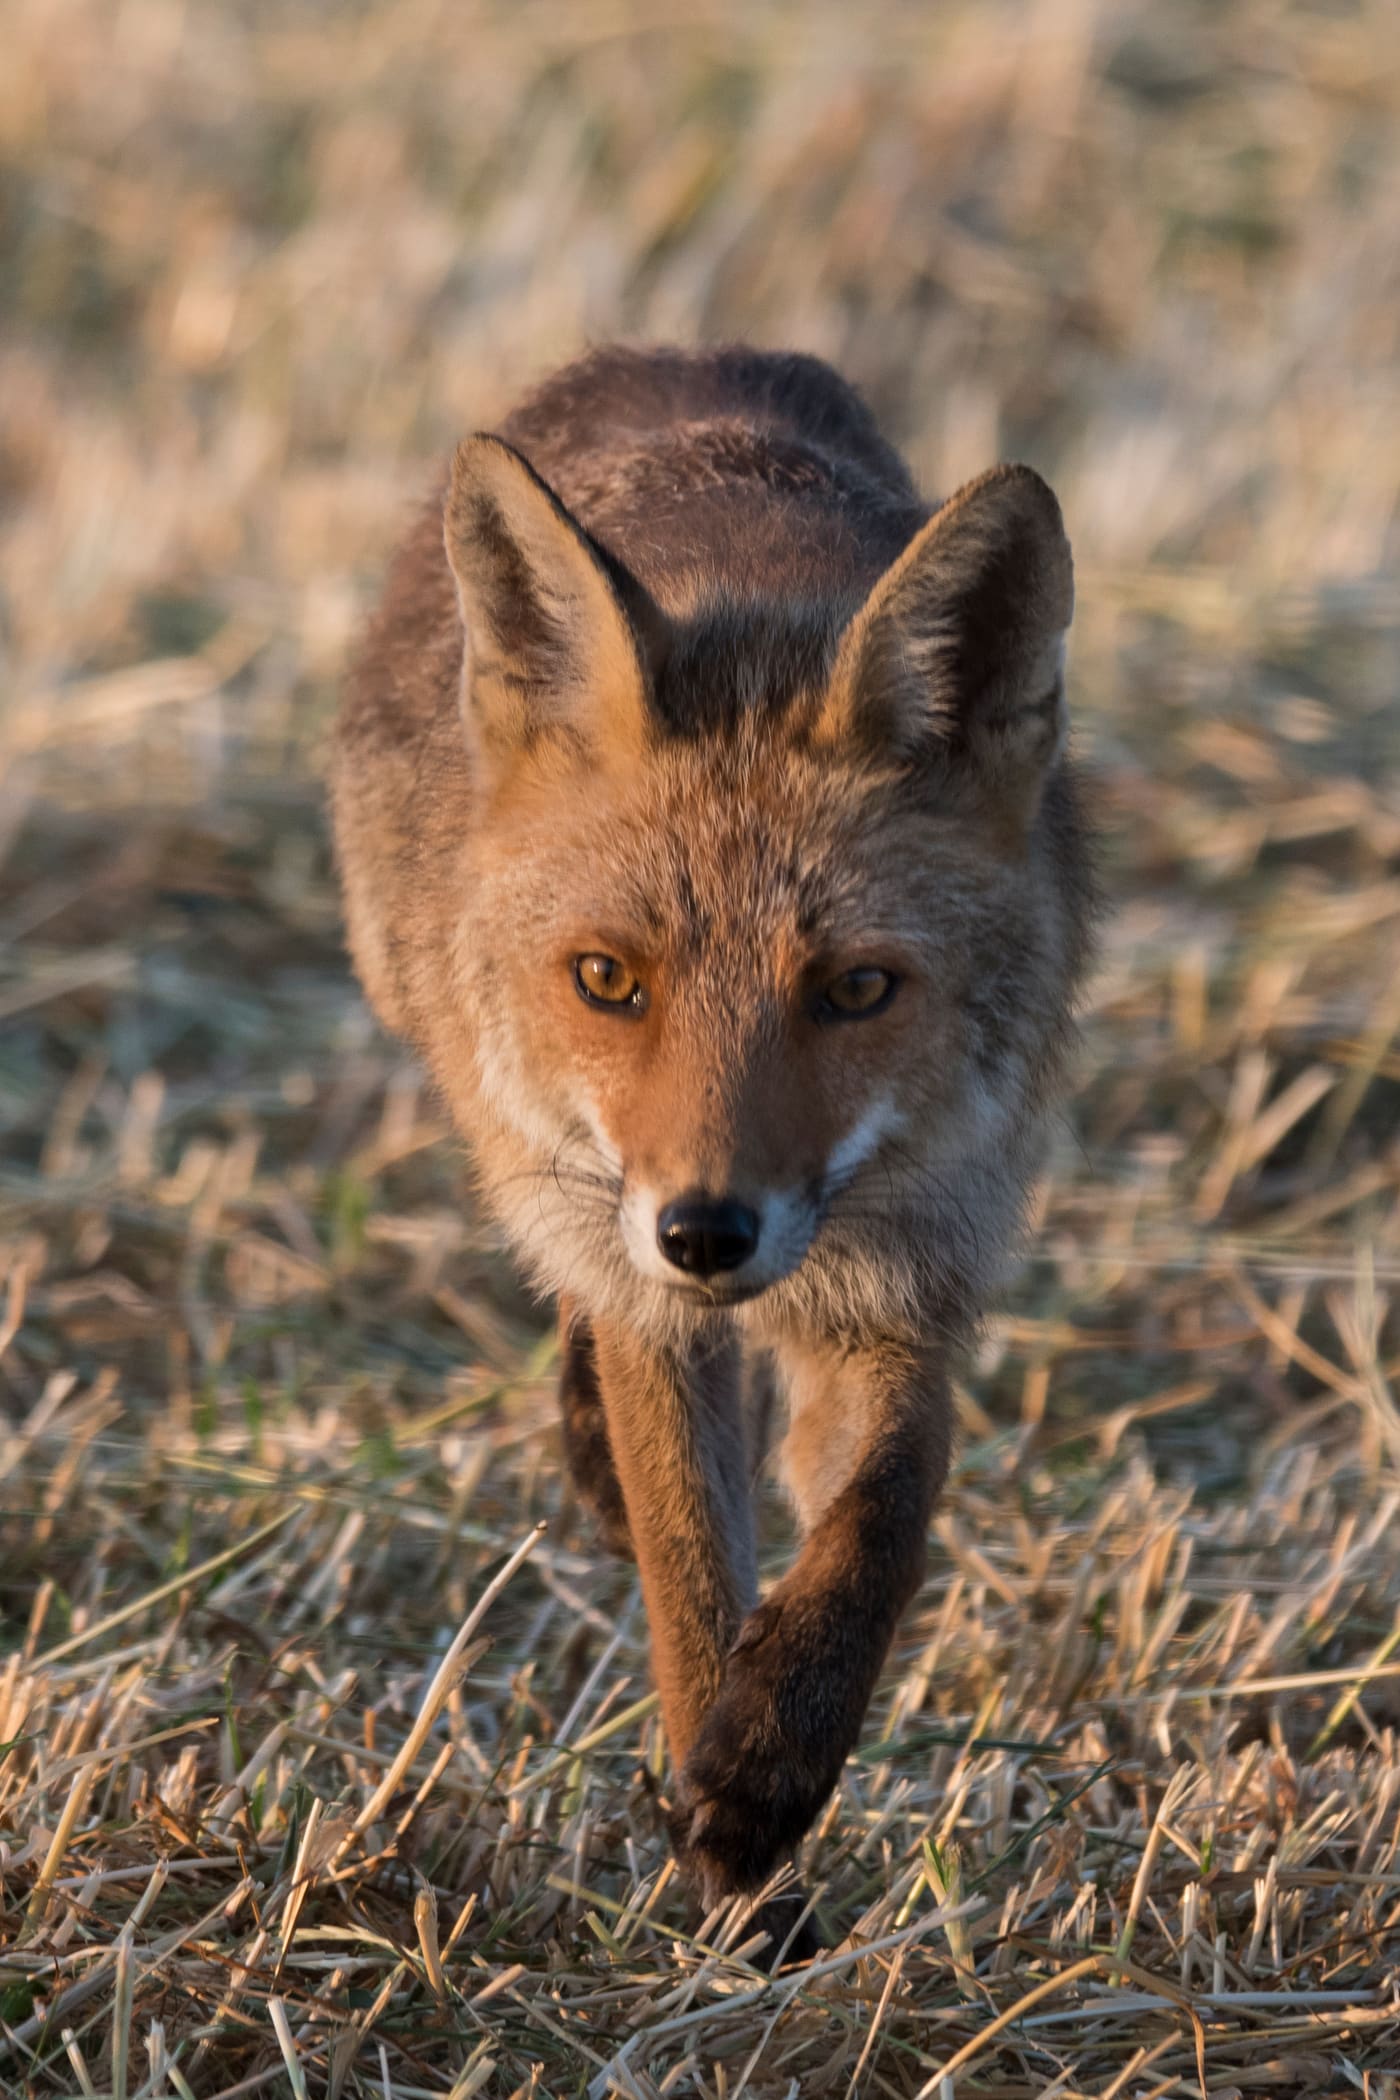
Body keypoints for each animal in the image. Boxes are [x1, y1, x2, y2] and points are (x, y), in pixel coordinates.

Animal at [331, 343, 1094, 1953]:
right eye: (606, 980)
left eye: (856, 989)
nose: (706, 1230)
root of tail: (673, 358)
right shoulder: (657, 1303)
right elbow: (690, 1569)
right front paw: (728, 1859)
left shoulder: (915, 1264)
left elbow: (884, 1515)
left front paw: (776, 1757)